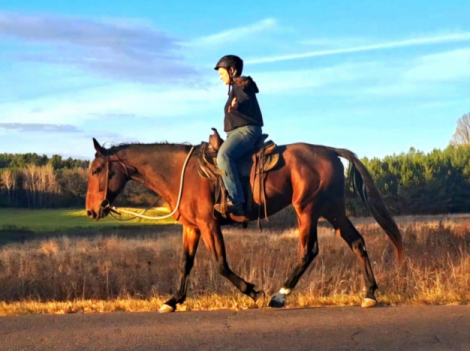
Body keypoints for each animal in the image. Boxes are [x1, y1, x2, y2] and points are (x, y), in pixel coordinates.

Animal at [86, 138, 402, 314]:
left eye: (96, 170)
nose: (90, 210)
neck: (181, 174)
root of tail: (329, 150)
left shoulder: (209, 225)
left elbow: (221, 265)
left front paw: (253, 291)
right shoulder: (192, 228)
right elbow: (185, 264)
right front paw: (173, 301)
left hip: (308, 210)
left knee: (309, 250)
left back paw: (279, 296)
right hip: (332, 210)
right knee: (357, 242)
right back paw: (370, 293)